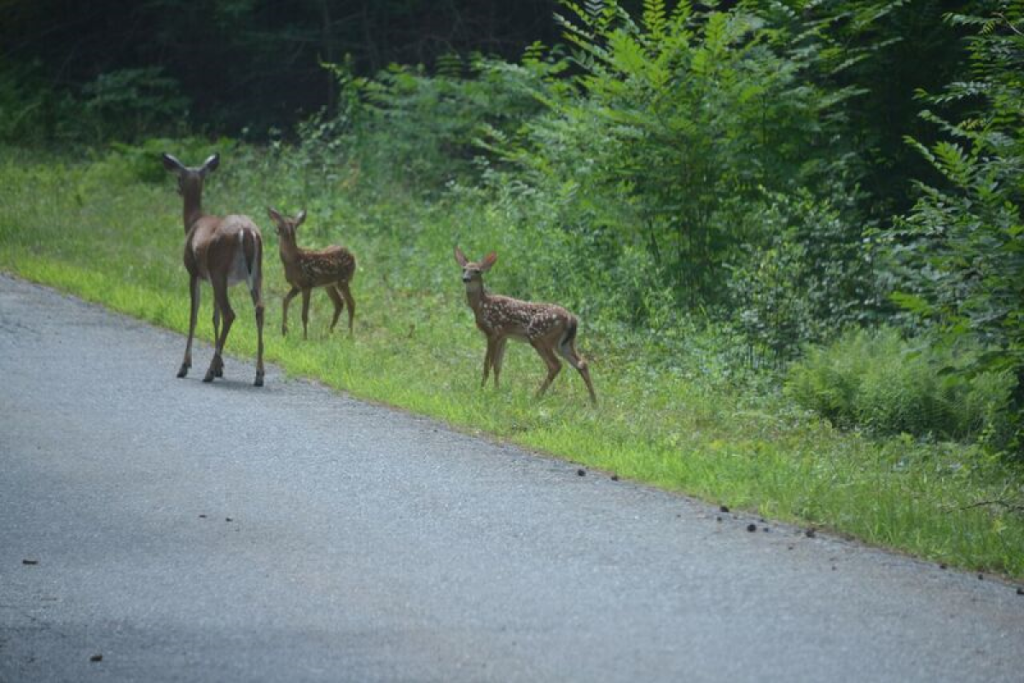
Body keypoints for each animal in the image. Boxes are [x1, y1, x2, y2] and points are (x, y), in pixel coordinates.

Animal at [159, 154, 264, 387]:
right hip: (254, 273)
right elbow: (213, 316)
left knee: (230, 313)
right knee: (259, 309)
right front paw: (220, 367)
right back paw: (259, 374)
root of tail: (247, 232)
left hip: (219, 270)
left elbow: (194, 315)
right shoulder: (214, 280)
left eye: (179, 177)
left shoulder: (194, 272)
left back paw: (207, 372)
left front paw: (185, 365)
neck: (194, 221)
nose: (177, 189)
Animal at [268, 206, 356, 337]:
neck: (293, 260)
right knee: (339, 303)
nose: (270, 210)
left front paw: (304, 337)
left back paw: (349, 335)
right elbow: (285, 301)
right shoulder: (296, 286)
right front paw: (284, 331)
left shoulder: (307, 285)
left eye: (280, 222)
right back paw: (329, 332)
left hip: (343, 280)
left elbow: (304, 315)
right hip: (329, 284)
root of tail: (353, 257)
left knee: (351, 303)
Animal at [454, 246, 593, 403]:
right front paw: (496, 390)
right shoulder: (504, 336)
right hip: (564, 344)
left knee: (555, 365)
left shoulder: (493, 332)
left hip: (539, 336)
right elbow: (497, 365)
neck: (481, 305)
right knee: (582, 363)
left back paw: (536, 396)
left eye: (477, 271)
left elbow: (487, 364)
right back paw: (594, 402)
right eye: (464, 269)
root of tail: (572, 319)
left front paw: (481, 389)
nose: (465, 279)